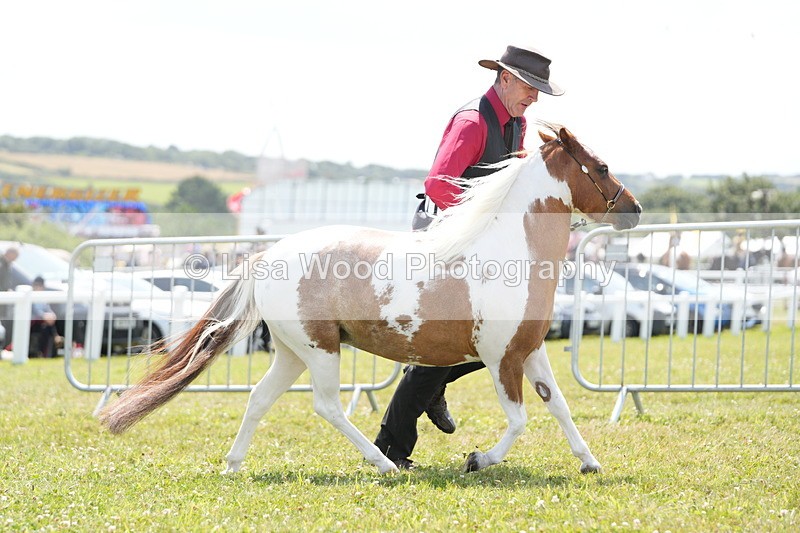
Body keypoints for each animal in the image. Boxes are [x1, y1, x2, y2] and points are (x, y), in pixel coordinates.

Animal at [99, 121, 642, 475]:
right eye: (601, 166)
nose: (634, 210)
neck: (510, 248)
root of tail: (267, 255)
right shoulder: (498, 357)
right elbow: (519, 420)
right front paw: (476, 459)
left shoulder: (529, 351)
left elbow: (559, 407)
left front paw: (590, 462)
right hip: (320, 348)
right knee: (328, 407)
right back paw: (384, 463)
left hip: (292, 350)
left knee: (258, 398)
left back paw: (233, 466)